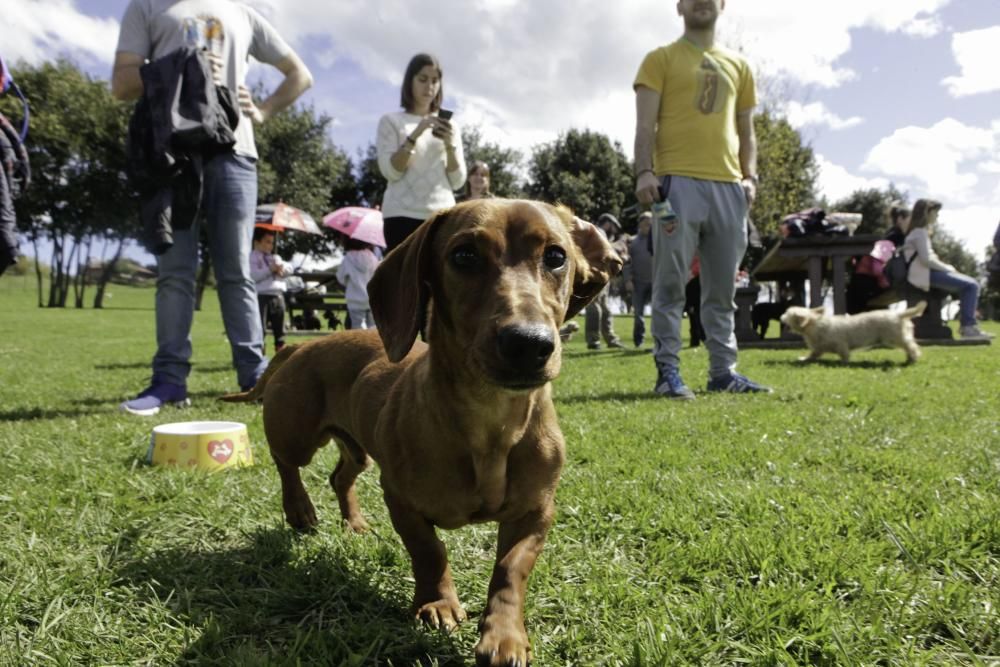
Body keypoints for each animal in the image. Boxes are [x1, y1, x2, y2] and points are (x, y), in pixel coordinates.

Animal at [776, 304, 924, 366]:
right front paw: (804, 359)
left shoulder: (840, 344)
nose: (780, 316)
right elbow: (812, 355)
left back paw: (914, 357)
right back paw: (909, 358)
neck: (814, 325)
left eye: (787, 314)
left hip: (895, 337)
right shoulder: (818, 348)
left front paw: (844, 363)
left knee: (911, 345)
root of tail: (898, 315)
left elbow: (844, 354)